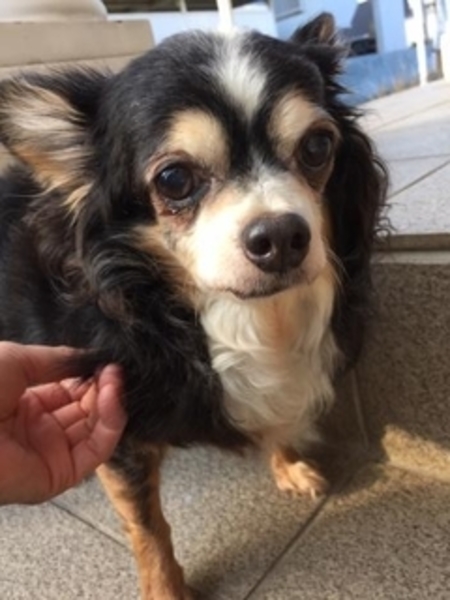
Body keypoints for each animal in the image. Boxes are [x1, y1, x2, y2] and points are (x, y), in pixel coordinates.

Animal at [0, 13, 387, 599]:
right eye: (174, 179)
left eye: (318, 147)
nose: (281, 236)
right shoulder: (117, 430)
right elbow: (148, 526)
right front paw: (165, 588)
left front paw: (289, 465)